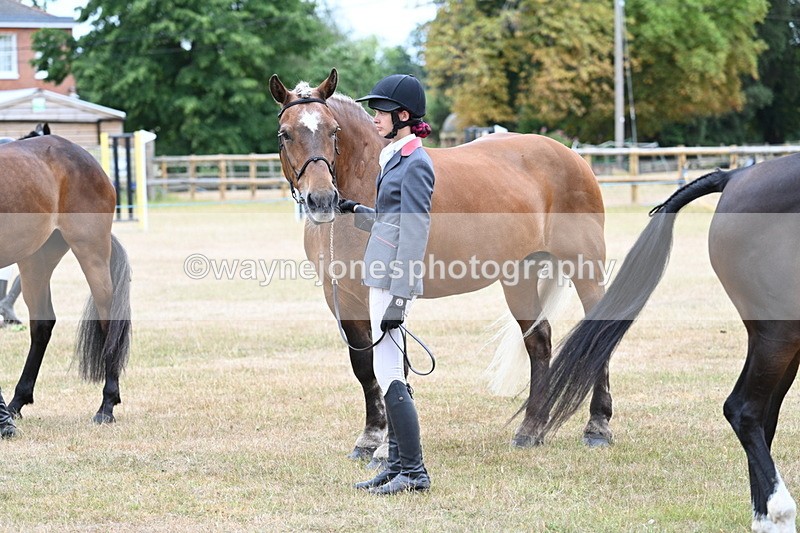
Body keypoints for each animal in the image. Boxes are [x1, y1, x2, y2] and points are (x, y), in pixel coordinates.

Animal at [0, 131, 132, 438]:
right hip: (35, 261)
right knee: (42, 325)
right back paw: (16, 403)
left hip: (91, 252)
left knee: (108, 321)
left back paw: (106, 406)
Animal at [269, 68, 612, 462]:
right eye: (285, 133)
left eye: (333, 130)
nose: (323, 200)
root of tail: (571, 155)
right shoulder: (341, 297)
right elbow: (366, 368)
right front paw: (369, 438)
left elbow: (394, 367)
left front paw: (388, 447)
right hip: (519, 275)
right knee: (538, 341)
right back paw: (531, 429)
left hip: (585, 266)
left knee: (599, 334)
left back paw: (598, 426)